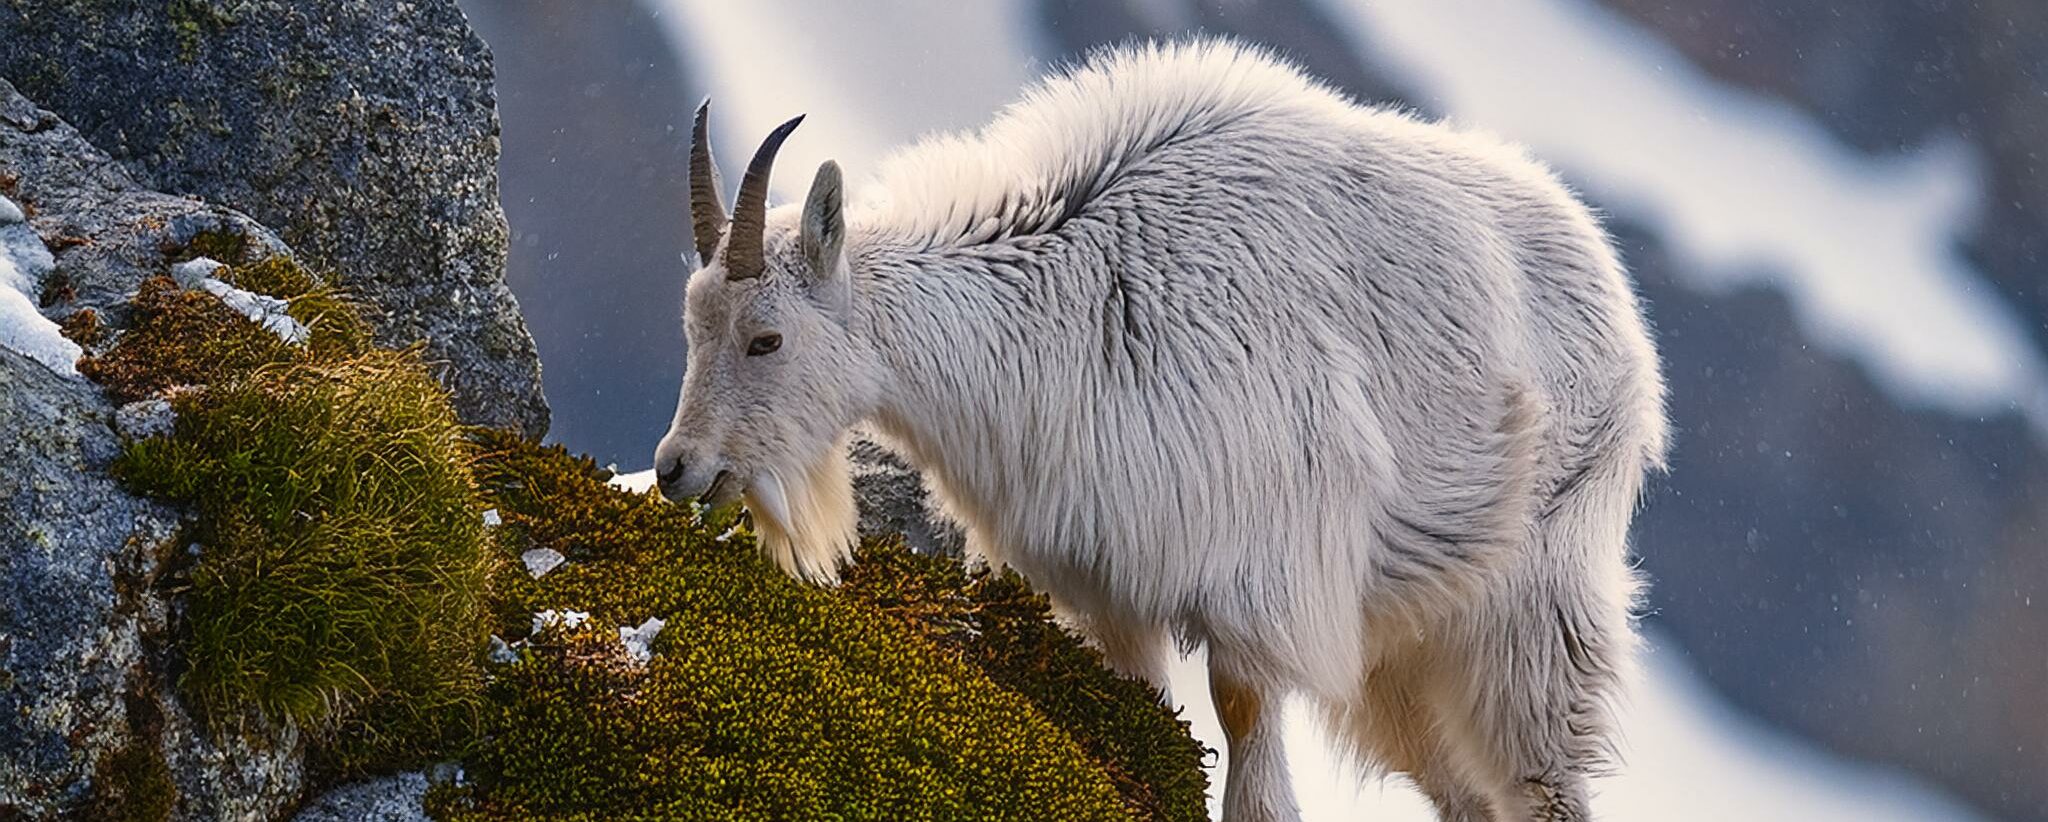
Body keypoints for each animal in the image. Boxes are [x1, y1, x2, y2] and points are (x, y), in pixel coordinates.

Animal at [655, 38, 1662, 819]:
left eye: (766, 337)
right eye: (692, 324)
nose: (677, 468)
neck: (1075, 296)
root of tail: (1620, 306)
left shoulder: (1261, 581)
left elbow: (1248, 740)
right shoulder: (1106, 582)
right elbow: (1141, 699)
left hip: (1532, 606)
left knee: (1540, 781)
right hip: (1407, 647)